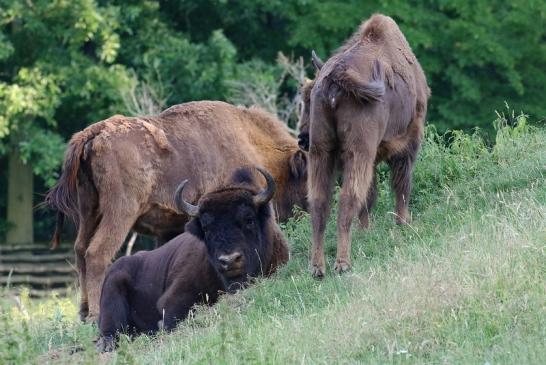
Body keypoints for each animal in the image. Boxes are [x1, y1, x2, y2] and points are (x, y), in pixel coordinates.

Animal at [45, 101, 306, 320]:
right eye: (303, 177)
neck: (250, 139)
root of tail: (92, 134)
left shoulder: (168, 231)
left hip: (89, 211)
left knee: (80, 249)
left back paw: (83, 311)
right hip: (120, 212)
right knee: (97, 252)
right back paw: (95, 314)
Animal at [298, 13, 430, 276]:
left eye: (307, 98)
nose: (302, 138)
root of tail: (335, 77)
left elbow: (370, 195)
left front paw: (365, 231)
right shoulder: (406, 145)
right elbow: (400, 184)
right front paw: (403, 222)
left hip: (321, 153)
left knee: (319, 203)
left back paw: (317, 267)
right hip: (358, 151)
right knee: (348, 199)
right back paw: (342, 263)